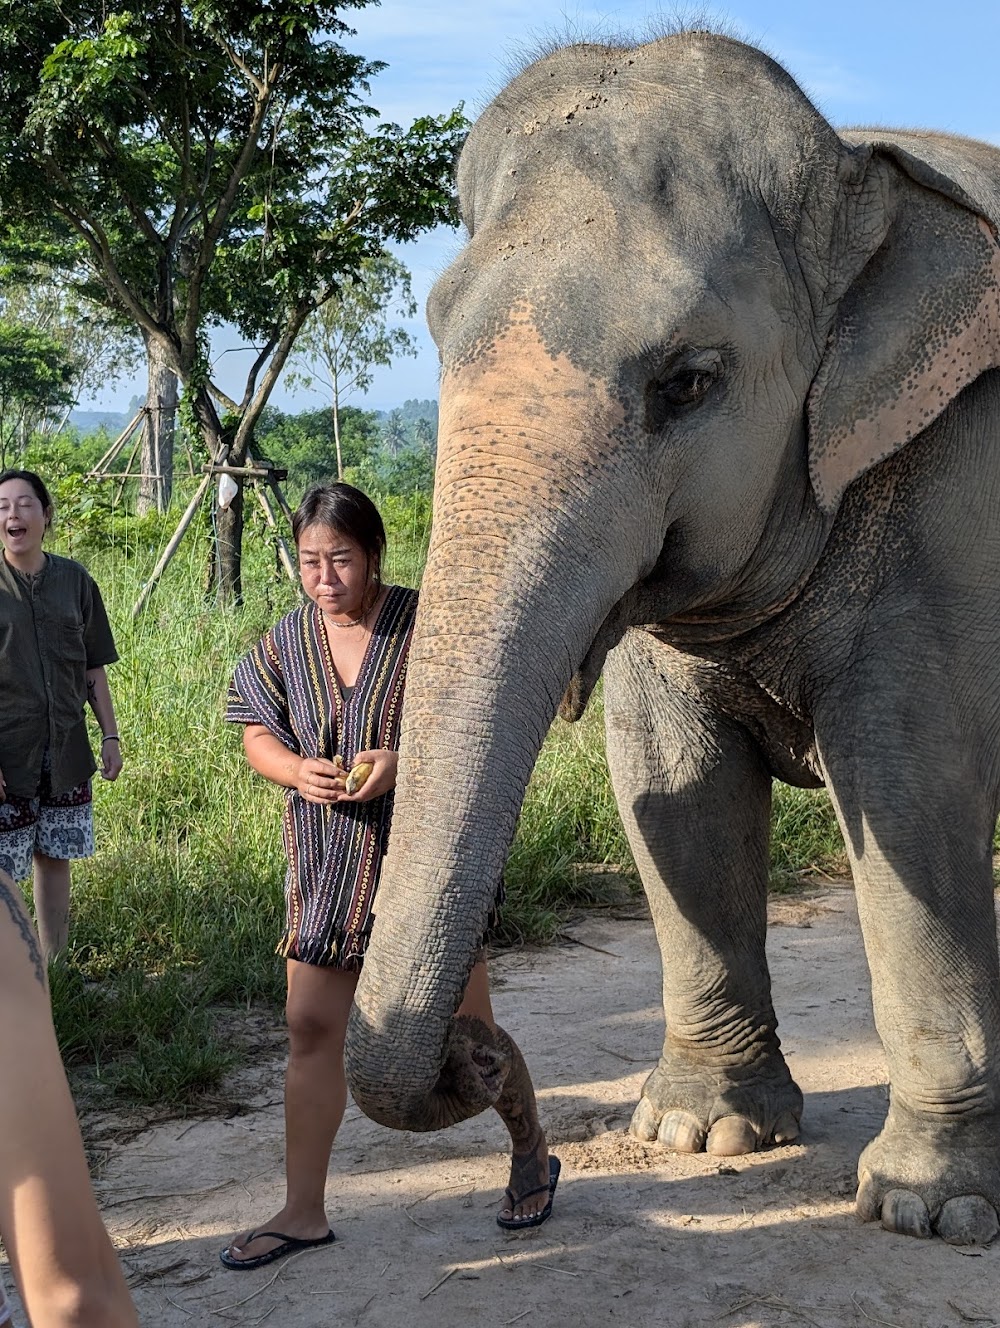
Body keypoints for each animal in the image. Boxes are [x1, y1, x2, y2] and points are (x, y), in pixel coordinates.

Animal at [345, 31, 1000, 1248]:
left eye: (686, 384)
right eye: (436, 334)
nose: (476, 1053)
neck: (857, 169)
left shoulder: (952, 500)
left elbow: (913, 793)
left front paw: (930, 1208)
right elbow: (670, 791)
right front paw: (701, 1134)